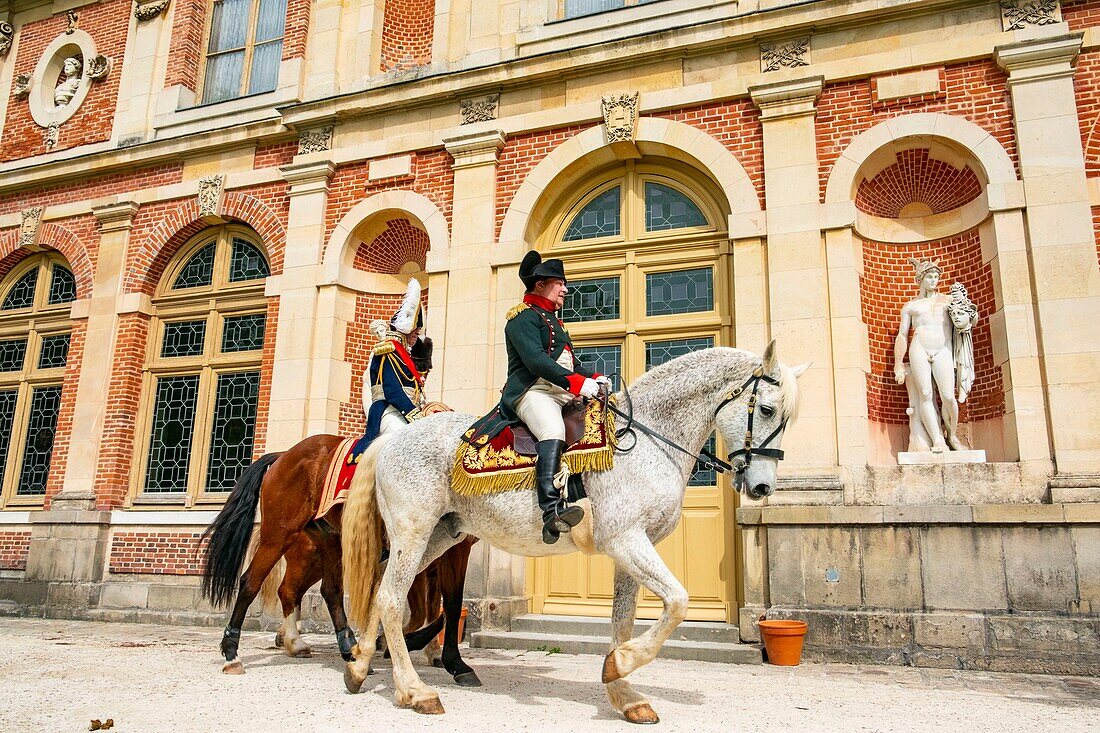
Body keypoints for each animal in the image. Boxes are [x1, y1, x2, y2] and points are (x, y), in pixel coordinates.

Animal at [201, 431, 481, 682]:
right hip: (280, 537)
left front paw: (439, 656)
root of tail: (284, 455)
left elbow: (441, 606)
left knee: (323, 591)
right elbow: (434, 608)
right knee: (255, 583)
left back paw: (333, 646)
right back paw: (234, 653)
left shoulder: (443, 554)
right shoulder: (433, 550)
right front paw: (432, 654)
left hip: (328, 541)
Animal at [341, 341, 809, 717]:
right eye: (766, 409)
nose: (763, 488)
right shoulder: (626, 540)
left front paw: (625, 694)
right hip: (413, 532)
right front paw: (621, 664)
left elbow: (622, 621)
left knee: (381, 590)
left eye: (786, 418)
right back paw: (414, 691)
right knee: (391, 598)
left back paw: (360, 667)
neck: (648, 439)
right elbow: (677, 601)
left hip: (439, 536)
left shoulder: (631, 550)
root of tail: (392, 438)